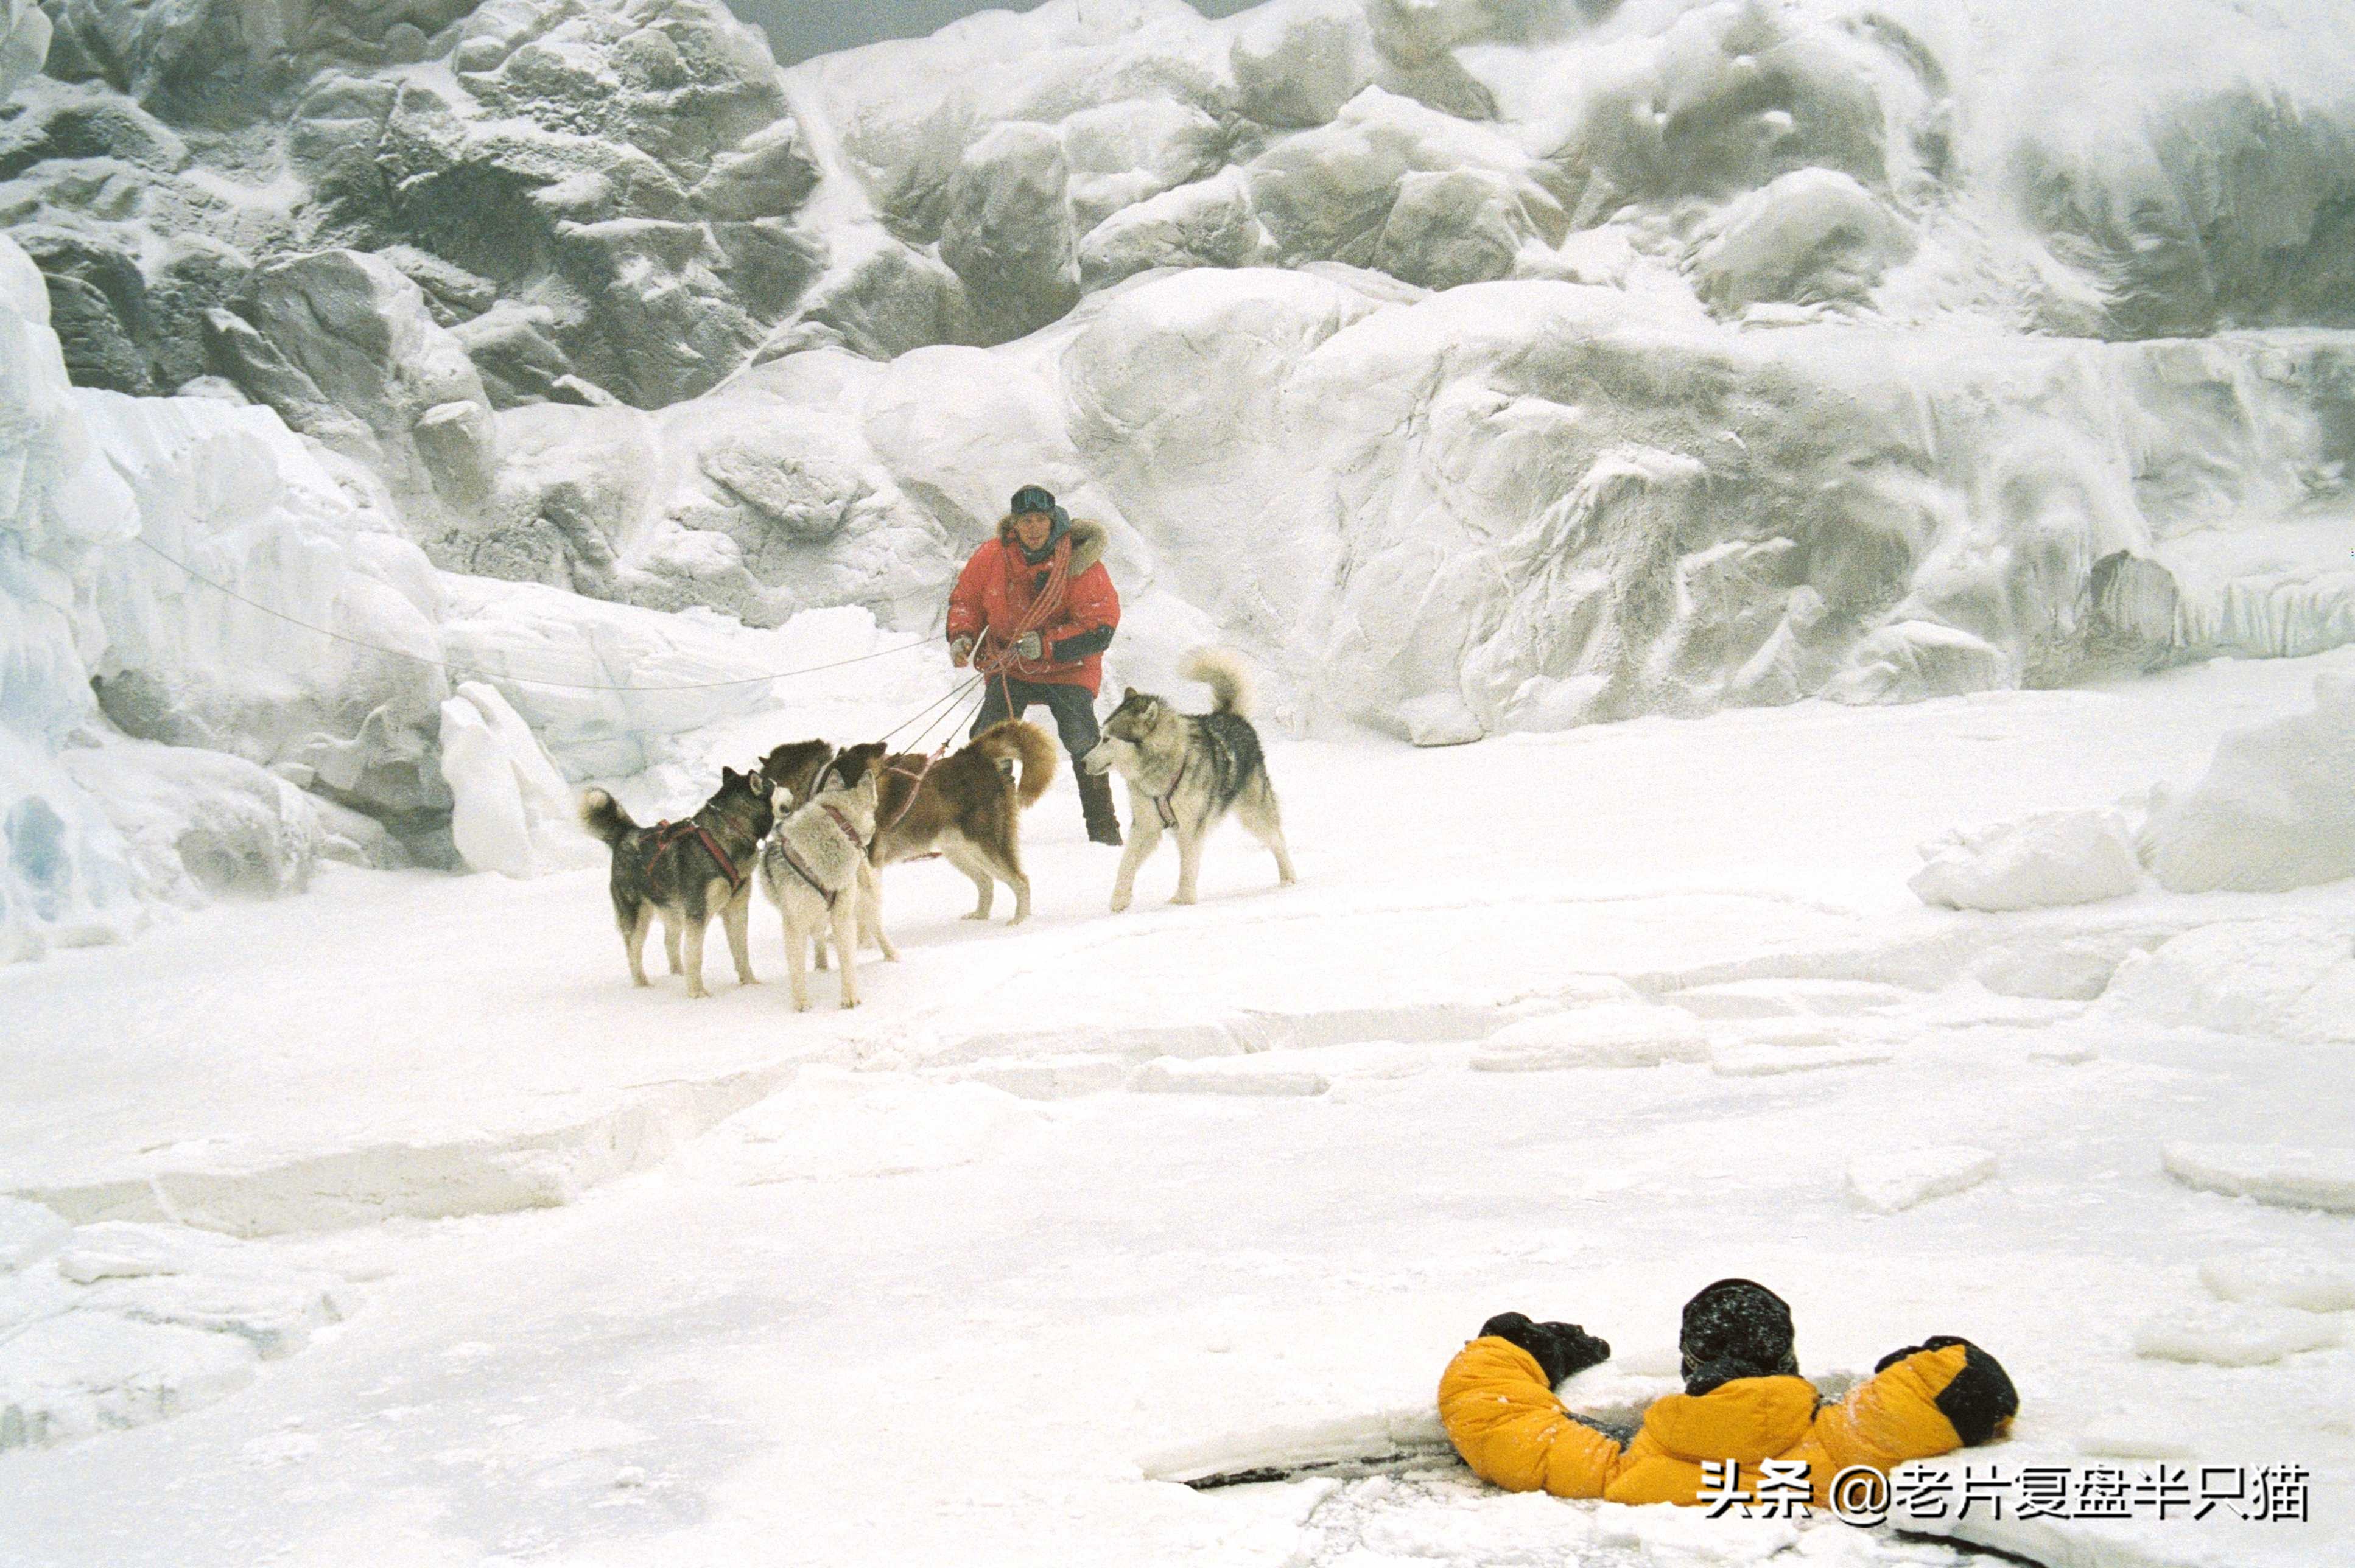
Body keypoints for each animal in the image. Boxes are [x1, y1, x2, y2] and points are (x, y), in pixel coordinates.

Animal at [579, 763, 772, 993]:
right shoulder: (697, 914)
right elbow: (695, 955)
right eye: (774, 784)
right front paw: (698, 993)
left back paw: (678, 975)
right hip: (638, 916)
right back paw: (643, 985)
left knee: (669, 943)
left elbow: (741, 952)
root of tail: (627, 834)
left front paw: (750, 984)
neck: (724, 836)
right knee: (633, 952)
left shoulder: (737, 910)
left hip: (674, 910)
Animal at [763, 739, 890, 1007]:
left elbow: (848, 962)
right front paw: (801, 1005)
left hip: (862, 903)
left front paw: (850, 998)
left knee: (876, 929)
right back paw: (821, 968)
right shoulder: (795, 923)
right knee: (820, 940)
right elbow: (797, 969)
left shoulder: (843, 916)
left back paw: (893, 958)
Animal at [1078, 645, 1300, 908]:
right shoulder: (1146, 825)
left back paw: (1289, 879)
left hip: (1254, 814)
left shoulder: (1191, 827)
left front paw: (1183, 900)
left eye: (1107, 739)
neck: (1161, 771)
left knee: (1278, 841)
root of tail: (1232, 717)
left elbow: (1187, 868)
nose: (1082, 762)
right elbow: (1126, 864)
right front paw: (1119, 901)